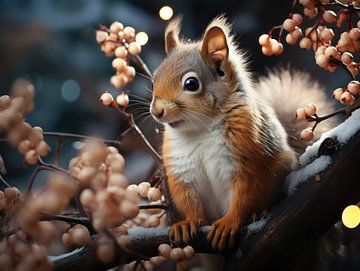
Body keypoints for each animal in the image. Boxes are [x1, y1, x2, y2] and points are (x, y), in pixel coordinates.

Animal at [149, 14, 334, 253]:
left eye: (191, 84)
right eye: (154, 80)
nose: (156, 111)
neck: (201, 129)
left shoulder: (247, 157)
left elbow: (245, 194)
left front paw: (229, 223)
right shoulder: (182, 169)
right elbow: (187, 198)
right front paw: (188, 222)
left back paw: (259, 213)